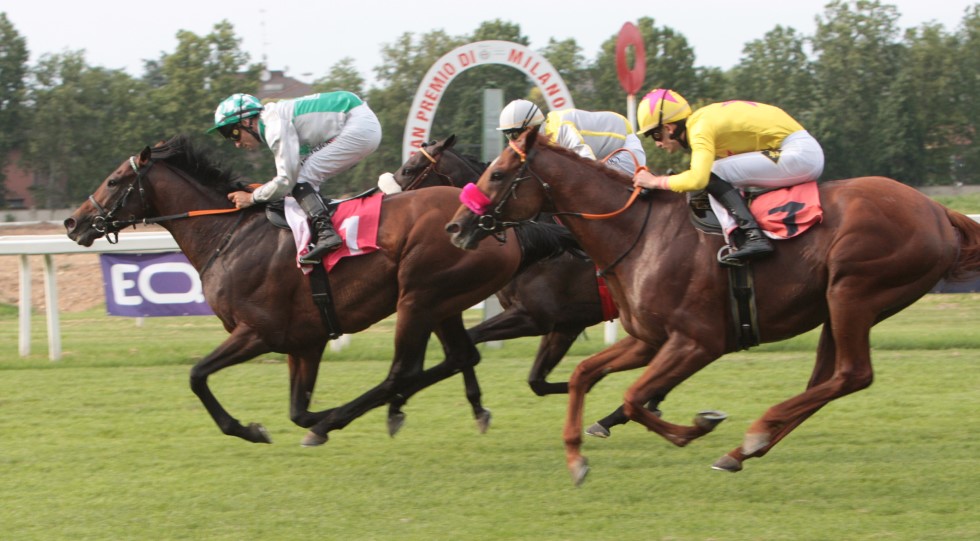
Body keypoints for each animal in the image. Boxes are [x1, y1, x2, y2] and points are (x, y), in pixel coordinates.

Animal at [64, 135, 574, 447]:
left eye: (113, 181)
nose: (73, 222)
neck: (230, 236)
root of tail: (499, 227)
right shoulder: (304, 342)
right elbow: (297, 410)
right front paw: (311, 420)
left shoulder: (258, 332)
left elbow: (196, 375)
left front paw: (251, 429)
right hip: (443, 302)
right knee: (458, 357)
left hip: (418, 296)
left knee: (402, 372)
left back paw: (357, 415)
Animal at [391, 135, 664, 436]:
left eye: (409, 169)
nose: (388, 202)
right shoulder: (565, 324)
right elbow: (537, 381)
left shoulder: (534, 317)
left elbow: (473, 339)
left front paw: (398, 400)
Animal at [446, 128, 980, 484]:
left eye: (498, 174)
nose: (455, 227)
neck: (637, 232)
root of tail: (938, 210)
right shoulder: (647, 340)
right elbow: (585, 376)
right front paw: (576, 458)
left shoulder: (697, 341)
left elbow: (633, 396)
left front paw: (696, 426)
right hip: (835, 305)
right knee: (825, 380)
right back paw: (745, 449)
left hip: (854, 292)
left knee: (852, 374)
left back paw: (755, 434)